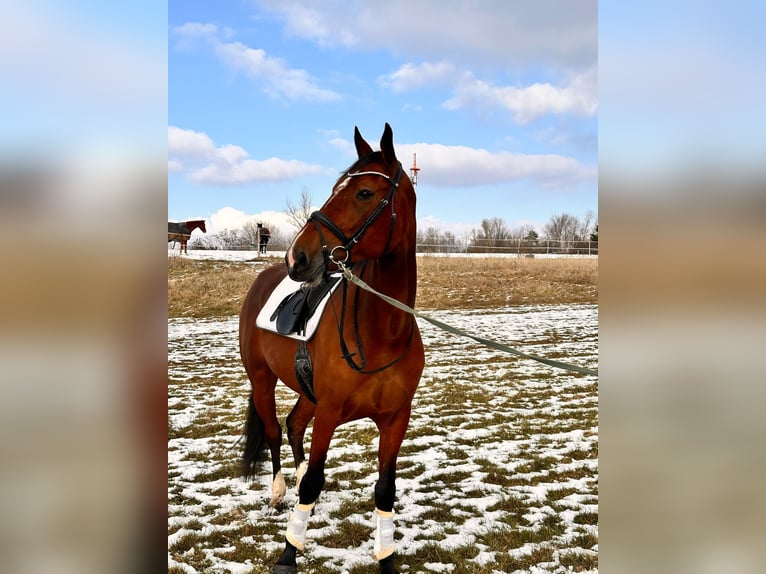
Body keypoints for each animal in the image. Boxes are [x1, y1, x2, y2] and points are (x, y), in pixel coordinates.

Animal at [238, 126, 424, 574]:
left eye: (364, 193)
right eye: (334, 188)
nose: (298, 256)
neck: (382, 333)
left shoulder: (395, 419)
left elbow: (385, 488)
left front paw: (386, 557)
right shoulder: (329, 411)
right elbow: (311, 483)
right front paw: (289, 552)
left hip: (308, 393)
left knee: (293, 425)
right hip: (262, 380)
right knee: (275, 432)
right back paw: (277, 492)